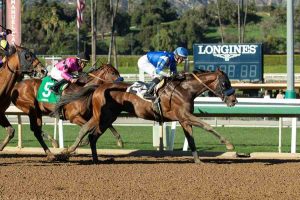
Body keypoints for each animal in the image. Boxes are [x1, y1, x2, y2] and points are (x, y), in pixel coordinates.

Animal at [53, 68, 237, 162]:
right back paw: (70, 152)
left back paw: (94, 158)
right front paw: (229, 144)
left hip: (107, 117)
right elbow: (207, 126)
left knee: (92, 135)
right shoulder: (184, 115)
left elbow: (191, 140)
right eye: (224, 83)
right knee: (87, 131)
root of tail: (99, 87)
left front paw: (198, 161)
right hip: (102, 116)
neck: (185, 89)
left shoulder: (184, 119)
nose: (234, 100)